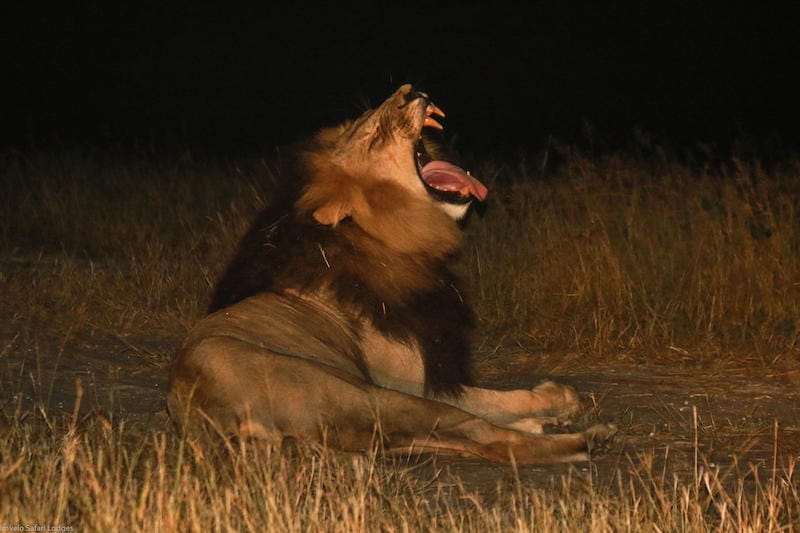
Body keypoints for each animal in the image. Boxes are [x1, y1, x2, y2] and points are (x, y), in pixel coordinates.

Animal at [167, 83, 612, 462]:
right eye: (371, 133)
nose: (411, 92)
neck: (388, 235)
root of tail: (207, 412)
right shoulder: (414, 380)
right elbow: (494, 398)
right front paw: (559, 396)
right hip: (375, 396)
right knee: (489, 438)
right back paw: (588, 439)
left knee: (464, 439)